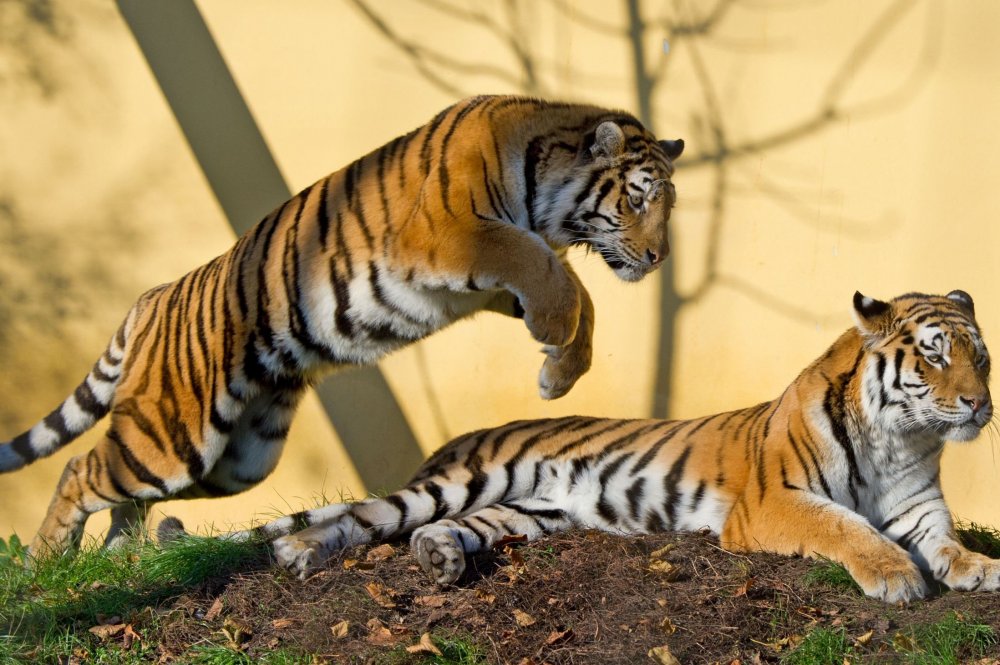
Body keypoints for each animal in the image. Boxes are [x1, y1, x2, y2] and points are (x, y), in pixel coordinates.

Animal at [0, 93, 684, 556]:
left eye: (668, 205)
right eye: (638, 199)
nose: (659, 258)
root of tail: (152, 296)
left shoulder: (485, 281)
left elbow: (578, 292)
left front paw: (562, 369)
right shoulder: (452, 235)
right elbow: (548, 270)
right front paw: (553, 336)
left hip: (235, 461)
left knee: (125, 497)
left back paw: (120, 559)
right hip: (171, 436)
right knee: (79, 469)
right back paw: (45, 565)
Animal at [189, 290, 1000, 600]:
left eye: (981, 357)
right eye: (934, 355)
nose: (980, 404)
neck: (901, 439)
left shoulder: (921, 508)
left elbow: (946, 541)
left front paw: (980, 568)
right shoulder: (776, 502)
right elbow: (847, 527)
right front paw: (895, 575)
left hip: (527, 512)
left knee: (440, 528)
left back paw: (440, 558)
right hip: (459, 481)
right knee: (366, 514)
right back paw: (299, 551)